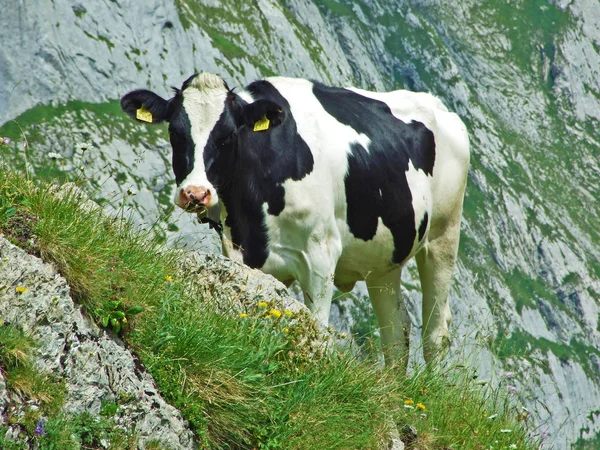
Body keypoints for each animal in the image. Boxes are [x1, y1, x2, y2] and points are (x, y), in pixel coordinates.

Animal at [120, 73, 468, 370]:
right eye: (175, 133)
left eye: (228, 137)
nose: (195, 193)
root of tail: (441, 108)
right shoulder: (244, 252)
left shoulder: (321, 254)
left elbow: (318, 329)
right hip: (384, 258)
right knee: (396, 329)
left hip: (444, 236)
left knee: (435, 333)